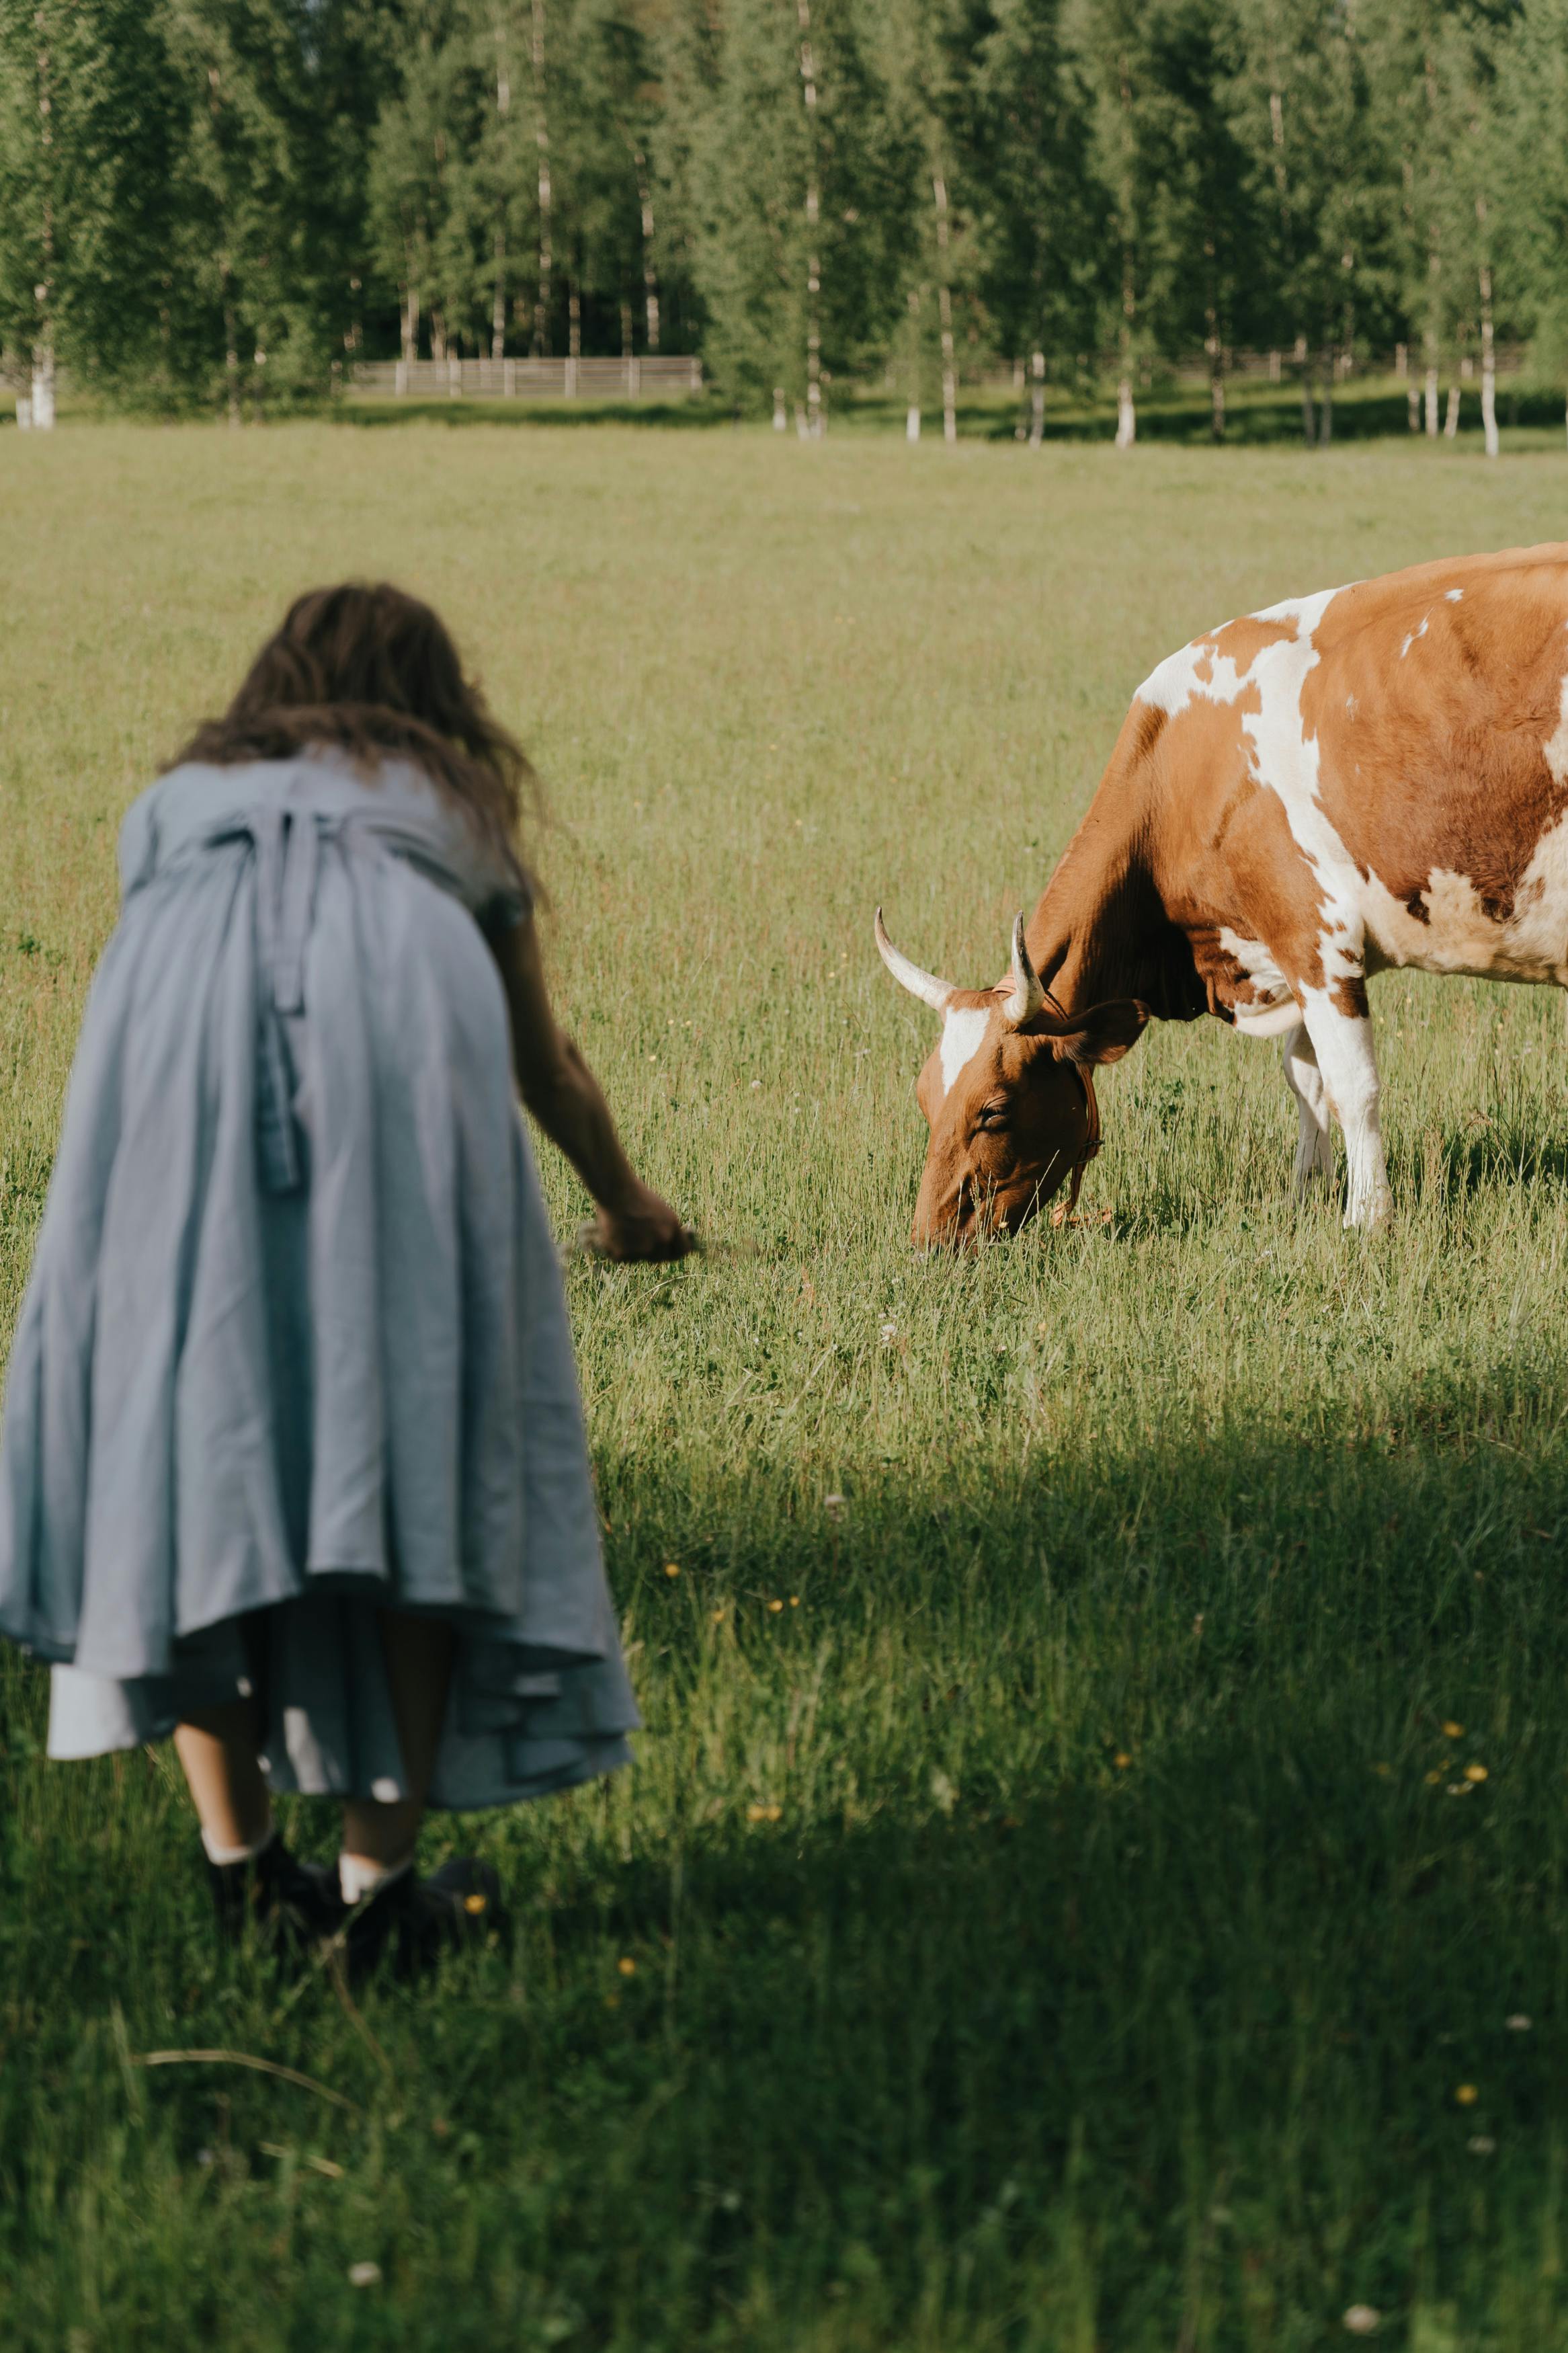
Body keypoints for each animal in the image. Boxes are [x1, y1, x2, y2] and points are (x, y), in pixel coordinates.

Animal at [884, 541, 1568, 1252]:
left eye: (993, 1110)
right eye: (924, 1096)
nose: (928, 1240)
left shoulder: (1313, 940)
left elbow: (1352, 1085)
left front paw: (1365, 1217)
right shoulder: (1282, 952)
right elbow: (1304, 1078)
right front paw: (1305, 1195)